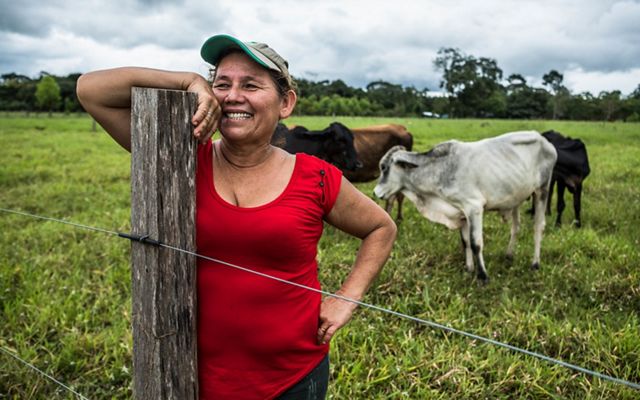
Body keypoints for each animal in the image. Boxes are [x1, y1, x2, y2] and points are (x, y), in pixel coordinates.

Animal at [372, 130, 556, 282]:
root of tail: (544, 140)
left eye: (384, 167)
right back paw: (509, 255)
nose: (375, 192)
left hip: (542, 191)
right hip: (517, 197)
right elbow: (465, 241)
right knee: (516, 227)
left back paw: (535, 263)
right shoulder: (461, 211)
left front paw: (483, 276)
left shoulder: (474, 208)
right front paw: (469, 269)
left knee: (538, 227)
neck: (441, 170)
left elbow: (476, 243)